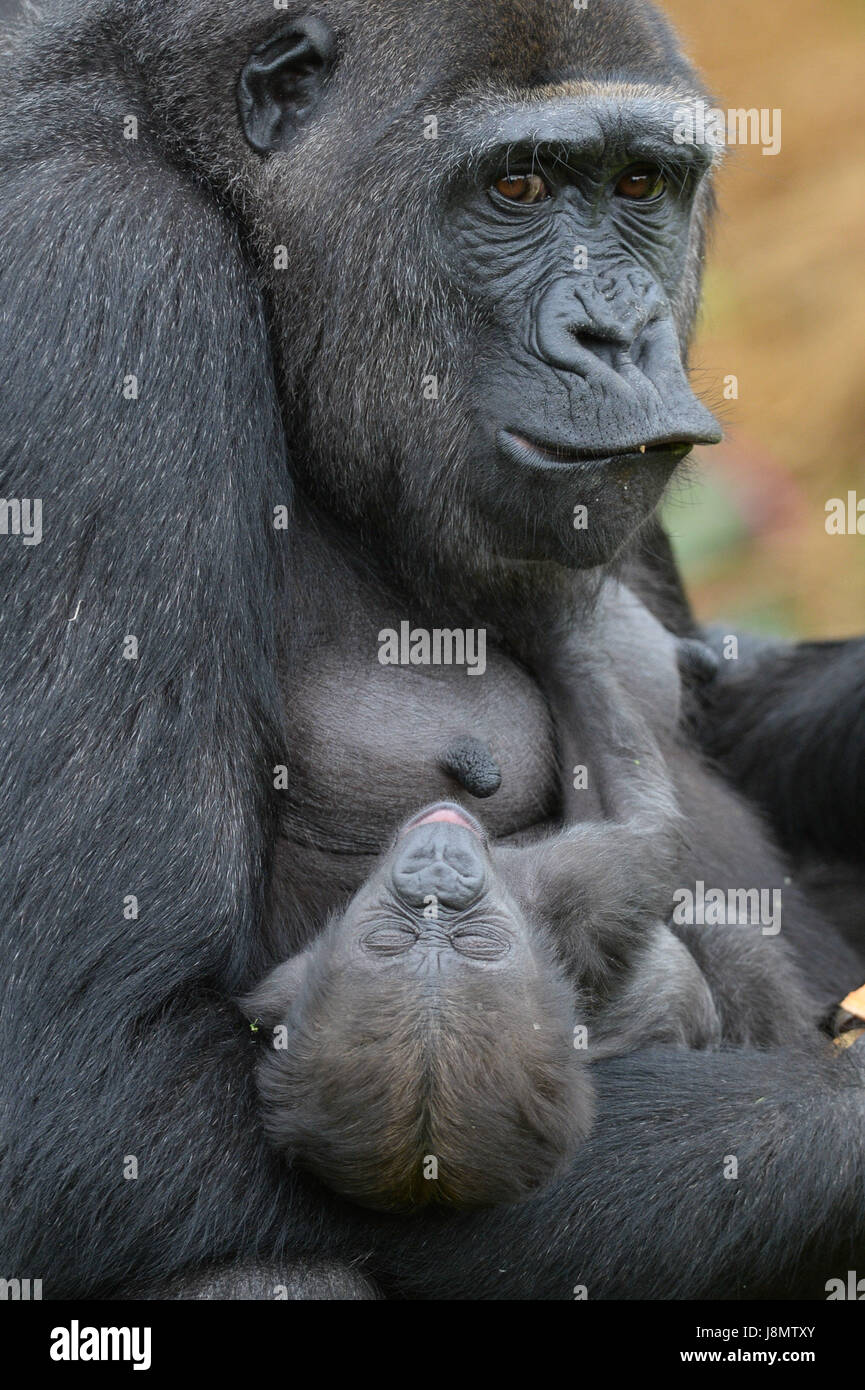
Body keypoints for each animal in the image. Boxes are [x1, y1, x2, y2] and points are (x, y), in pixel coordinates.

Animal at [1, 0, 865, 1301]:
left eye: (637, 183)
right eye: (516, 185)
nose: (619, 332)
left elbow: (722, 711)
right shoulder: (93, 266)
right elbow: (94, 1084)